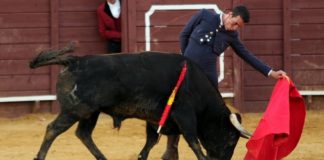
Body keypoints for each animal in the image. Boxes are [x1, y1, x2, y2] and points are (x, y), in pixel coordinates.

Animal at [29, 44, 251, 160]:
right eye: (231, 138)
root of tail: (75, 61)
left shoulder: (156, 119)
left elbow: (151, 141)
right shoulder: (184, 114)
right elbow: (193, 141)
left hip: (90, 112)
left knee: (83, 134)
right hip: (76, 110)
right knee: (53, 129)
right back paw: (39, 157)